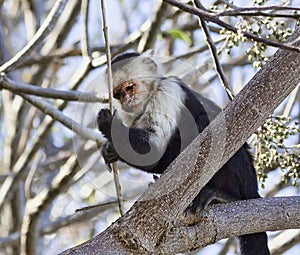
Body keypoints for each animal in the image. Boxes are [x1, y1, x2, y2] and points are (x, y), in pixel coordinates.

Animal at [97, 50, 270, 254]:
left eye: (130, 88)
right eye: (117, 94)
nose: (126, 101)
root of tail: (253, 188)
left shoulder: (167, 93)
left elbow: (154, 150)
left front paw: (110, 126)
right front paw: (110, 149)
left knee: (210, 127)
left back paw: (224, 197)